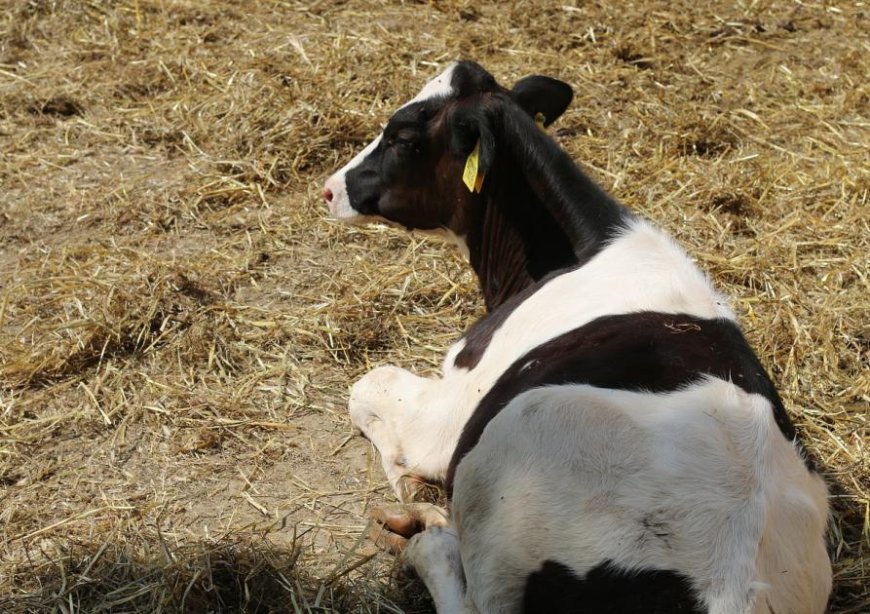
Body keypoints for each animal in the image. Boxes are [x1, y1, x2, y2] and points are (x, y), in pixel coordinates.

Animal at [324, 62, 836, 614]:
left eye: (402, 137)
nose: (330, 188)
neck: (588, 251)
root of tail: (730, 588)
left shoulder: (450, 413)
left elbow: (366, 389)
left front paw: (408, 483)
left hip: (507, 456)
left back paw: (428, 538)